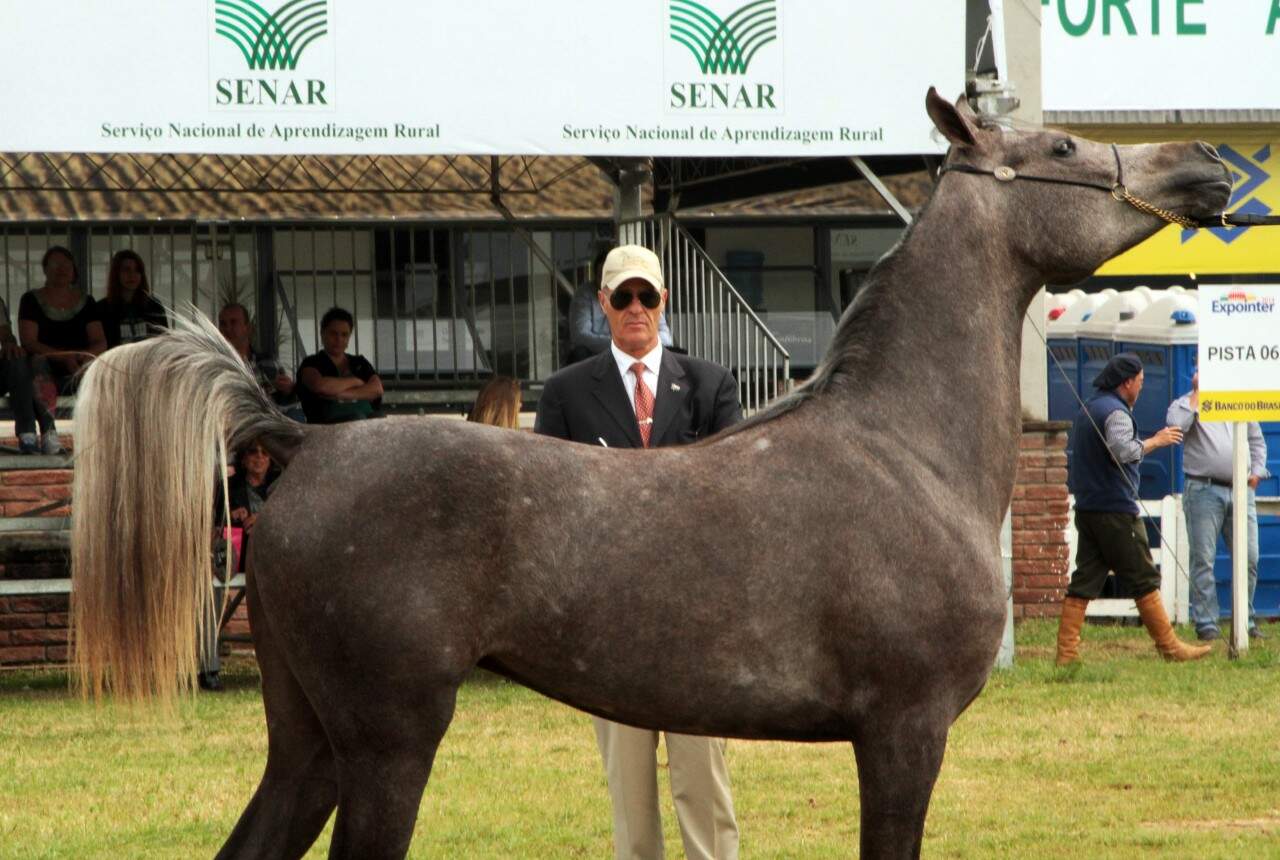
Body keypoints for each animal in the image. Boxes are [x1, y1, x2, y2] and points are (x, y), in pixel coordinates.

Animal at [70, 90, 1228, 854]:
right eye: (1064, 143)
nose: (1206, 166)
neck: (904, 448)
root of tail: (306, 441)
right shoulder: (904, 733)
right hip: (386, 741)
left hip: (306, 737)